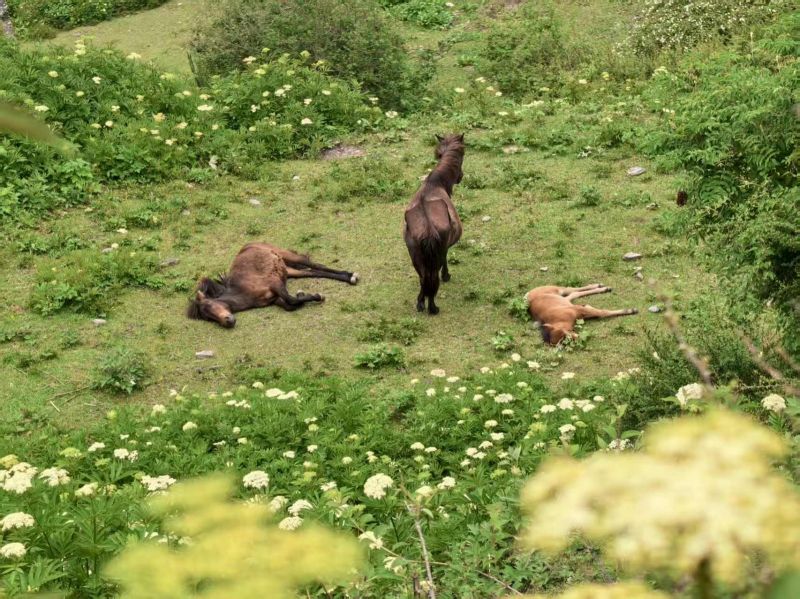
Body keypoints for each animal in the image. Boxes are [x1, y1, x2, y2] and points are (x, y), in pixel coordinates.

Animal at [187, 242, 359, 328]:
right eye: (208, 318)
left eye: (209, 306)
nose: (228, 322)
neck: (242, 292)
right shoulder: (275, 298)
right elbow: (291, 305)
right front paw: (302, 294)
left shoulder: (275, 284)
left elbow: (291, 299)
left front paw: (318, 296)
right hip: (289, 270)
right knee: (313, 272)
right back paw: (347, 277)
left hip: (290, 257)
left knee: (316, 265)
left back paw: (352, 276)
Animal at [403, 133, 465, 314]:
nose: (461, 176)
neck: (435, 183)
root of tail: (428, 230)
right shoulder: (445, 248)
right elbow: (445, 260)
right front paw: (446, 276)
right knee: (432, 277)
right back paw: (432, 307)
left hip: (416, 256)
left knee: (424, 278)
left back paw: (421, 303)